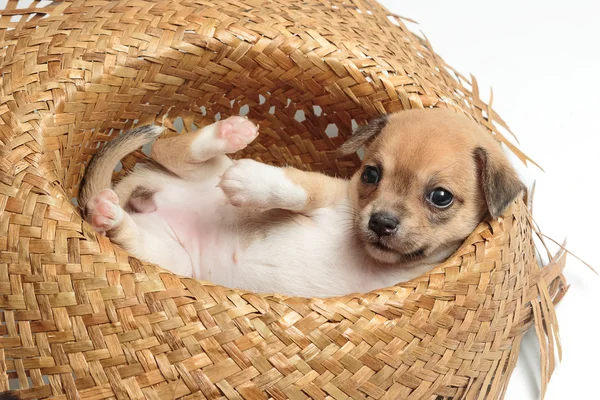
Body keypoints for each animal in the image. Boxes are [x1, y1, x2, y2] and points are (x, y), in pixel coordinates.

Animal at [81, 109, 524, 296]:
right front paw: (251, 181)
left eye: (440, 197)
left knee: (128, 229)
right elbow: (296, 187)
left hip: (169, 256)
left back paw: (108, 212)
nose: (380, 222)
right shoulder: (328, 193)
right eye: (370, 175)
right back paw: (229, 133)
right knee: (172, 147)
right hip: (200, 172)